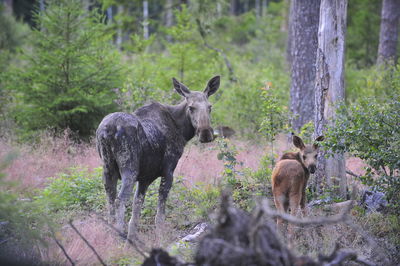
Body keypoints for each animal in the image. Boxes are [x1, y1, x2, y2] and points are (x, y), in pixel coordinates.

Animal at [97, 75, 222, 241]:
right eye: (191, 107)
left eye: (210, 106)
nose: (206, 133)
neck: (182, 131)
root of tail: (106, 130)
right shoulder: (168, 171)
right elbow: (160, 215)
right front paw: (161, 238)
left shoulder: (144, 178)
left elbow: (136, 211)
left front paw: (132, 240)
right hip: (128, 169)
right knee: (119, 200)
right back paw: (119, 236)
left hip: (107, 169)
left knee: (110, 200)